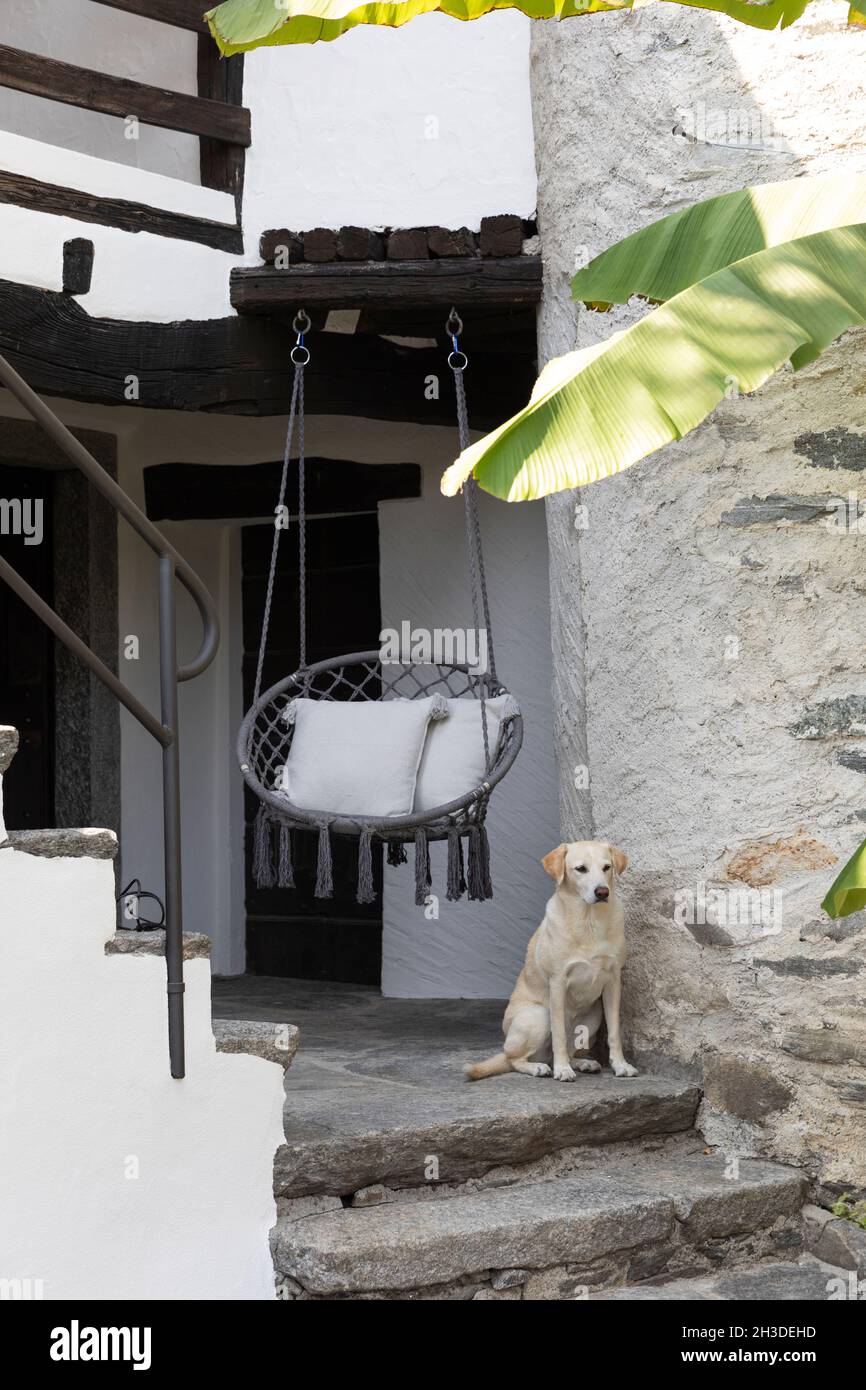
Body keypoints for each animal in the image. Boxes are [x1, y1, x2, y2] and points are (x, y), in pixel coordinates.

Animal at [467, 834, 636, 1084]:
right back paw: (540, 1067)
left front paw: (620, 1065)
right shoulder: (557, 982)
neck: (589, 923)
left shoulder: (613, 982)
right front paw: (562, 1070)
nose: (602, 892)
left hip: (593, 1016)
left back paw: (582, 1063)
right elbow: (558, 1034)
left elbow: (614, 1031)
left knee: (568, 1048)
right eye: (581, 869)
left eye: (607, 867)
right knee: (514, 1059)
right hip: (538, 1016)